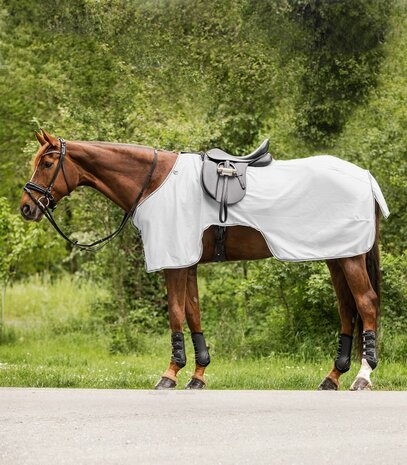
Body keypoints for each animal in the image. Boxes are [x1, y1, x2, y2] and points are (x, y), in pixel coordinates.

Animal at [20, 129, 384, 390]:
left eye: (47, 164)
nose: (26, 207)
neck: (154, 182)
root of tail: (365, 177)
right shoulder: (187, 262)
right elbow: (193, 312)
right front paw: (198, 375)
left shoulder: (174, 262)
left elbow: (175, 313)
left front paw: (170, 374)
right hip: (337, 257)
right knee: (347, 308)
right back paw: (332, 377)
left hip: (350, 258)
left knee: (365, 303)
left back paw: (362, 377)